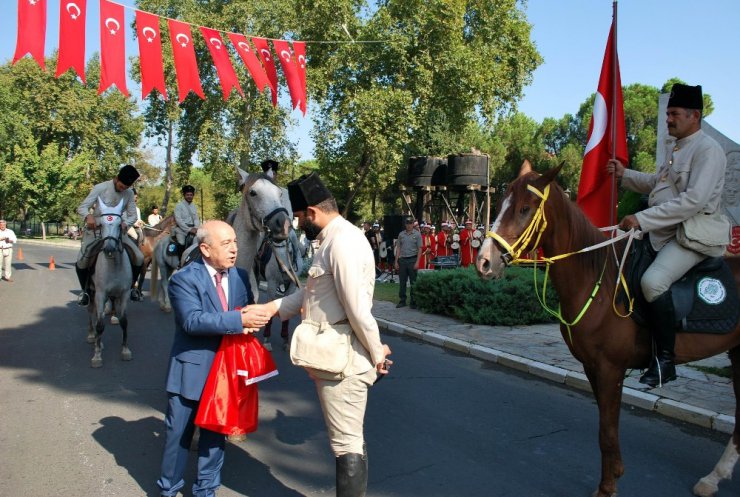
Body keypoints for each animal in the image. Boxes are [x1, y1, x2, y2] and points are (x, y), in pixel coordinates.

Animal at [86, 199, 133, 368]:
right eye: (100, 225)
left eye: (119, 225)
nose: (109, 248)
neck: (114, 265)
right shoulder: (100, 294)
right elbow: (100, 324)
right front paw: (97, 355)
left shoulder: (124, 294)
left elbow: (124, 321)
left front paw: (125, 350)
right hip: (92, 292)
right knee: (91, 312)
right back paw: (93, 337)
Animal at [476, 163, 736, 496]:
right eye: (499, 205)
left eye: (524, 208)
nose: (485, 261)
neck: (596, 280)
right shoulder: (591, 367)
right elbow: (606, 425)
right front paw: (614, 475)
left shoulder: (611, 368)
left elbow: (607, 430)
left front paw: (607, 487)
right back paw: (713, 477)